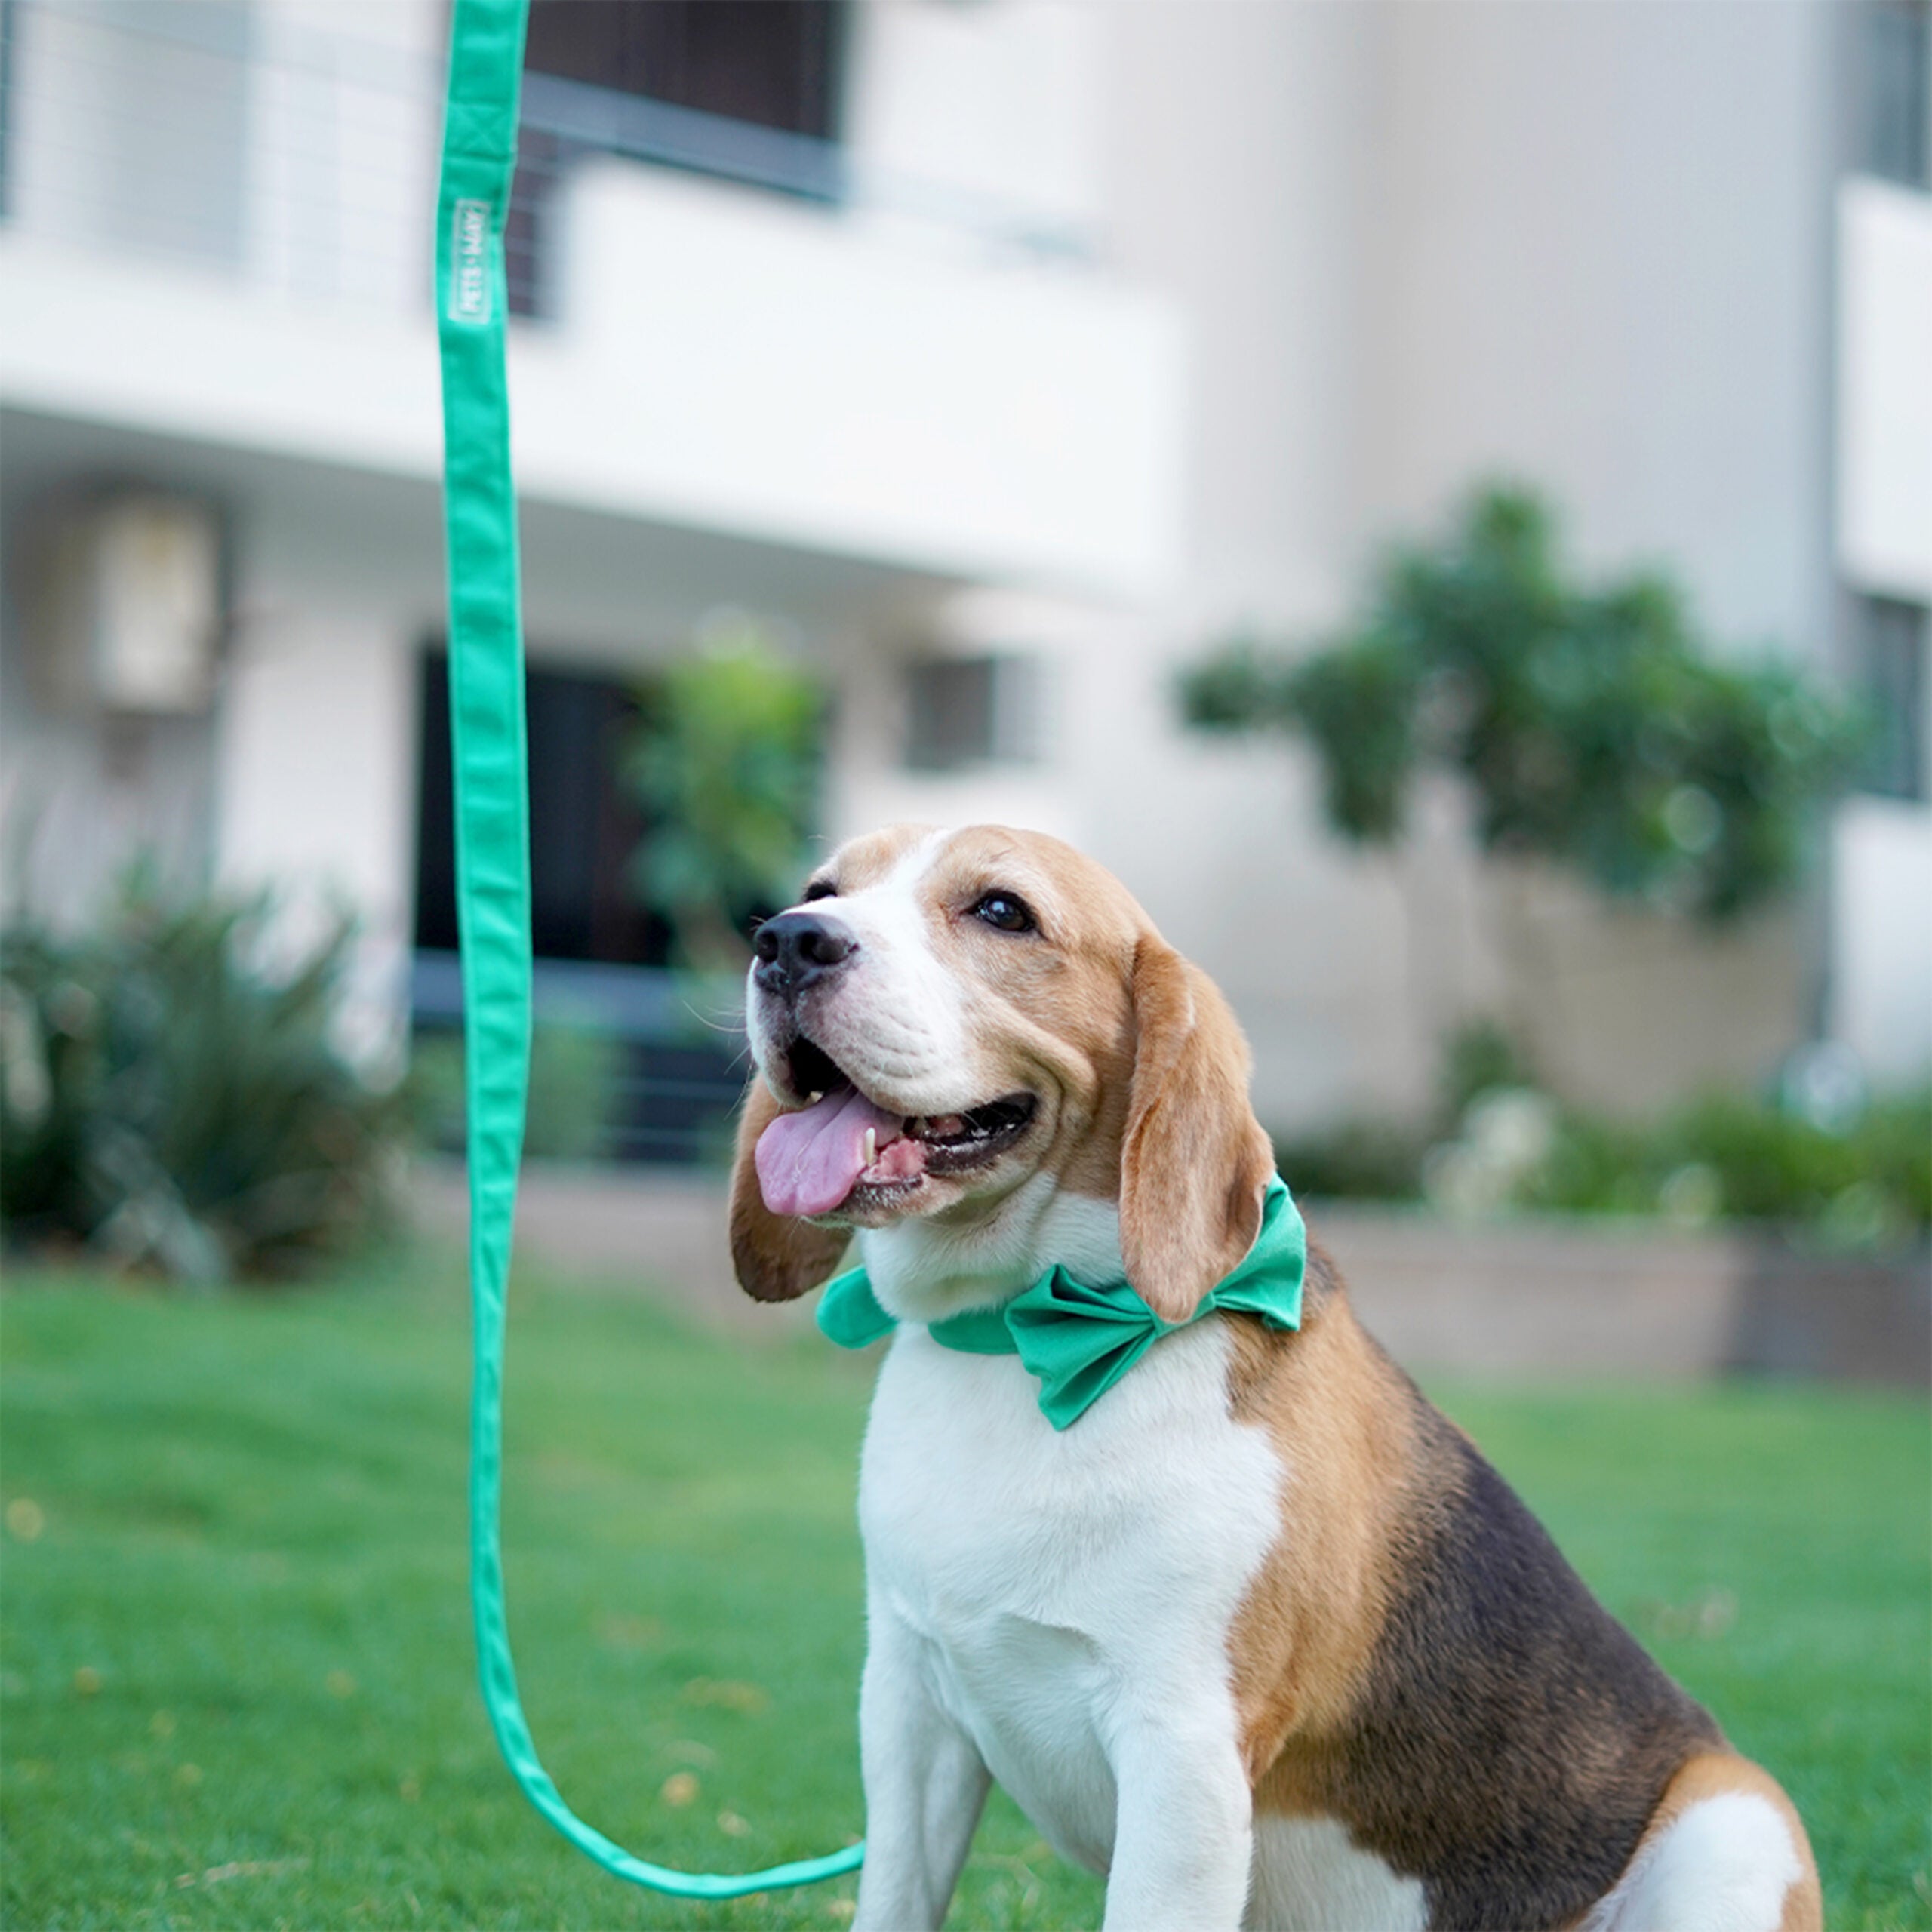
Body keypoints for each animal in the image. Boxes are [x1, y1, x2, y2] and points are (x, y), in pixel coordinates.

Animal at [730, 823, 1816, 1924]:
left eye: (1002, 911)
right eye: (822, 887)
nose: (788, 942)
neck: (1021, 1343)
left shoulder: (1183, 1754)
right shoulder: (911, 1708)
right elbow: (896, 1892)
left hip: (1733, 1824)